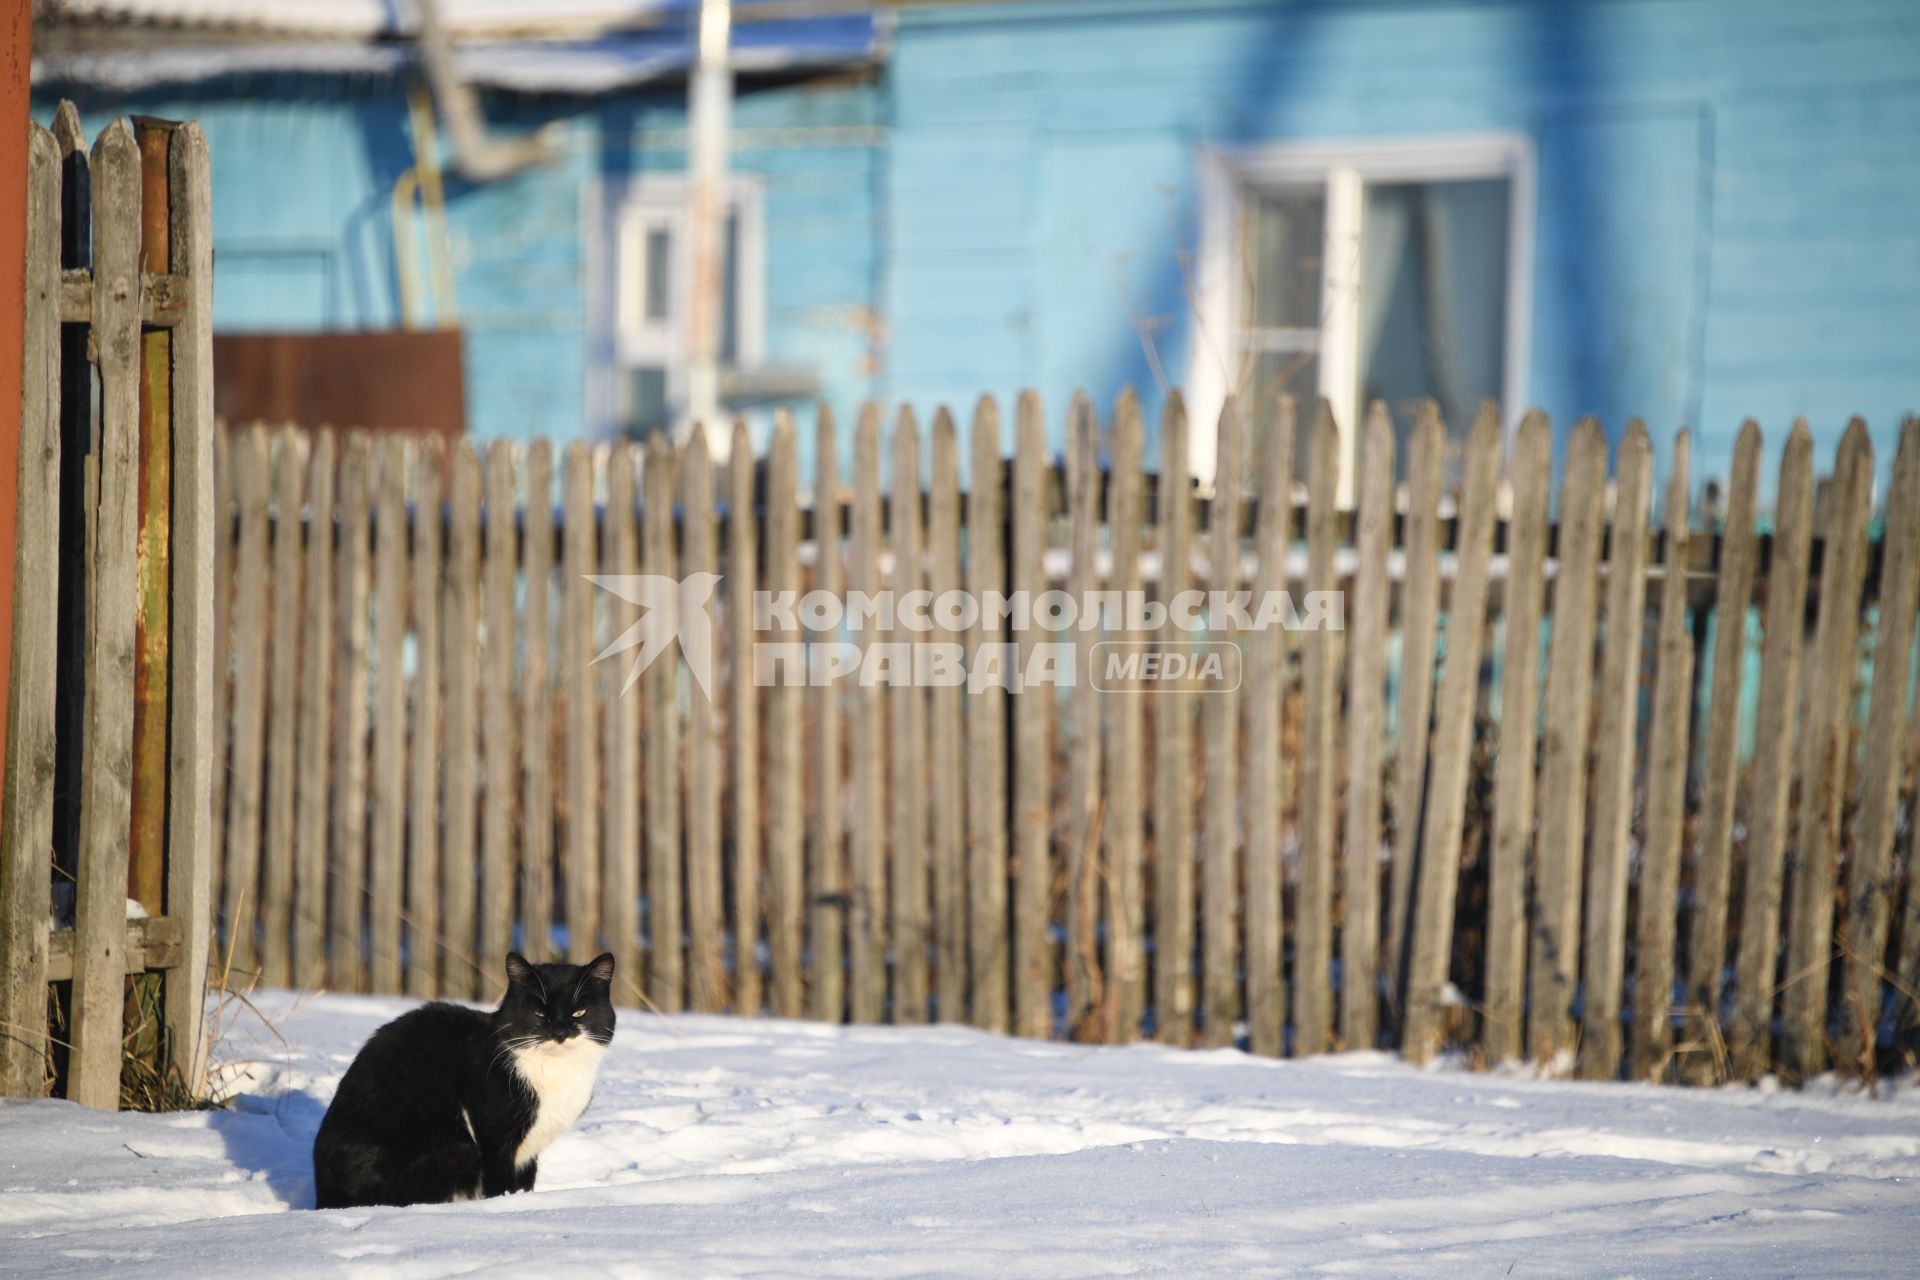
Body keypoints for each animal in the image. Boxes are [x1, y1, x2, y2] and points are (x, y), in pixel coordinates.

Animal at [311, 951, 614, 1212]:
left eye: (579, 1013)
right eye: (539, 1013)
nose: (560, 1032)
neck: (554, 1071)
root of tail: (323, 1197)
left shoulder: (529, 1152)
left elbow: (525, 1183)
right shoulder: (494, 1134)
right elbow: (500, 1183)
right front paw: (505, 1206)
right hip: (457, 1149)